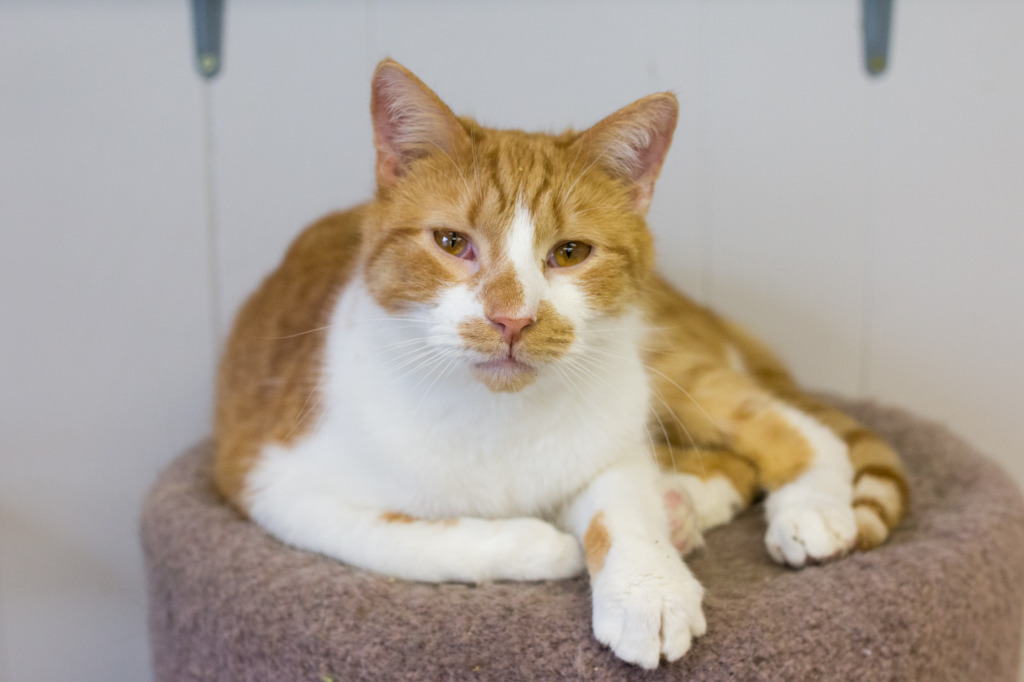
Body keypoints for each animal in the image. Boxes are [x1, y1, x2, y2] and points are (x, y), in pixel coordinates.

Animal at [214, 61, 905, 667]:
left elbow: (622, 511)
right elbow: (401, 536)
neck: (496, 419)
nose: (512, 320)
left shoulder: (611, 445)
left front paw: (649, 589)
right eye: (451, 243)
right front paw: (542, 544)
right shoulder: (269, 481)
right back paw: (682, 503)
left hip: (665, 366)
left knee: (797, 430)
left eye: (570, 252)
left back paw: (803, 507)